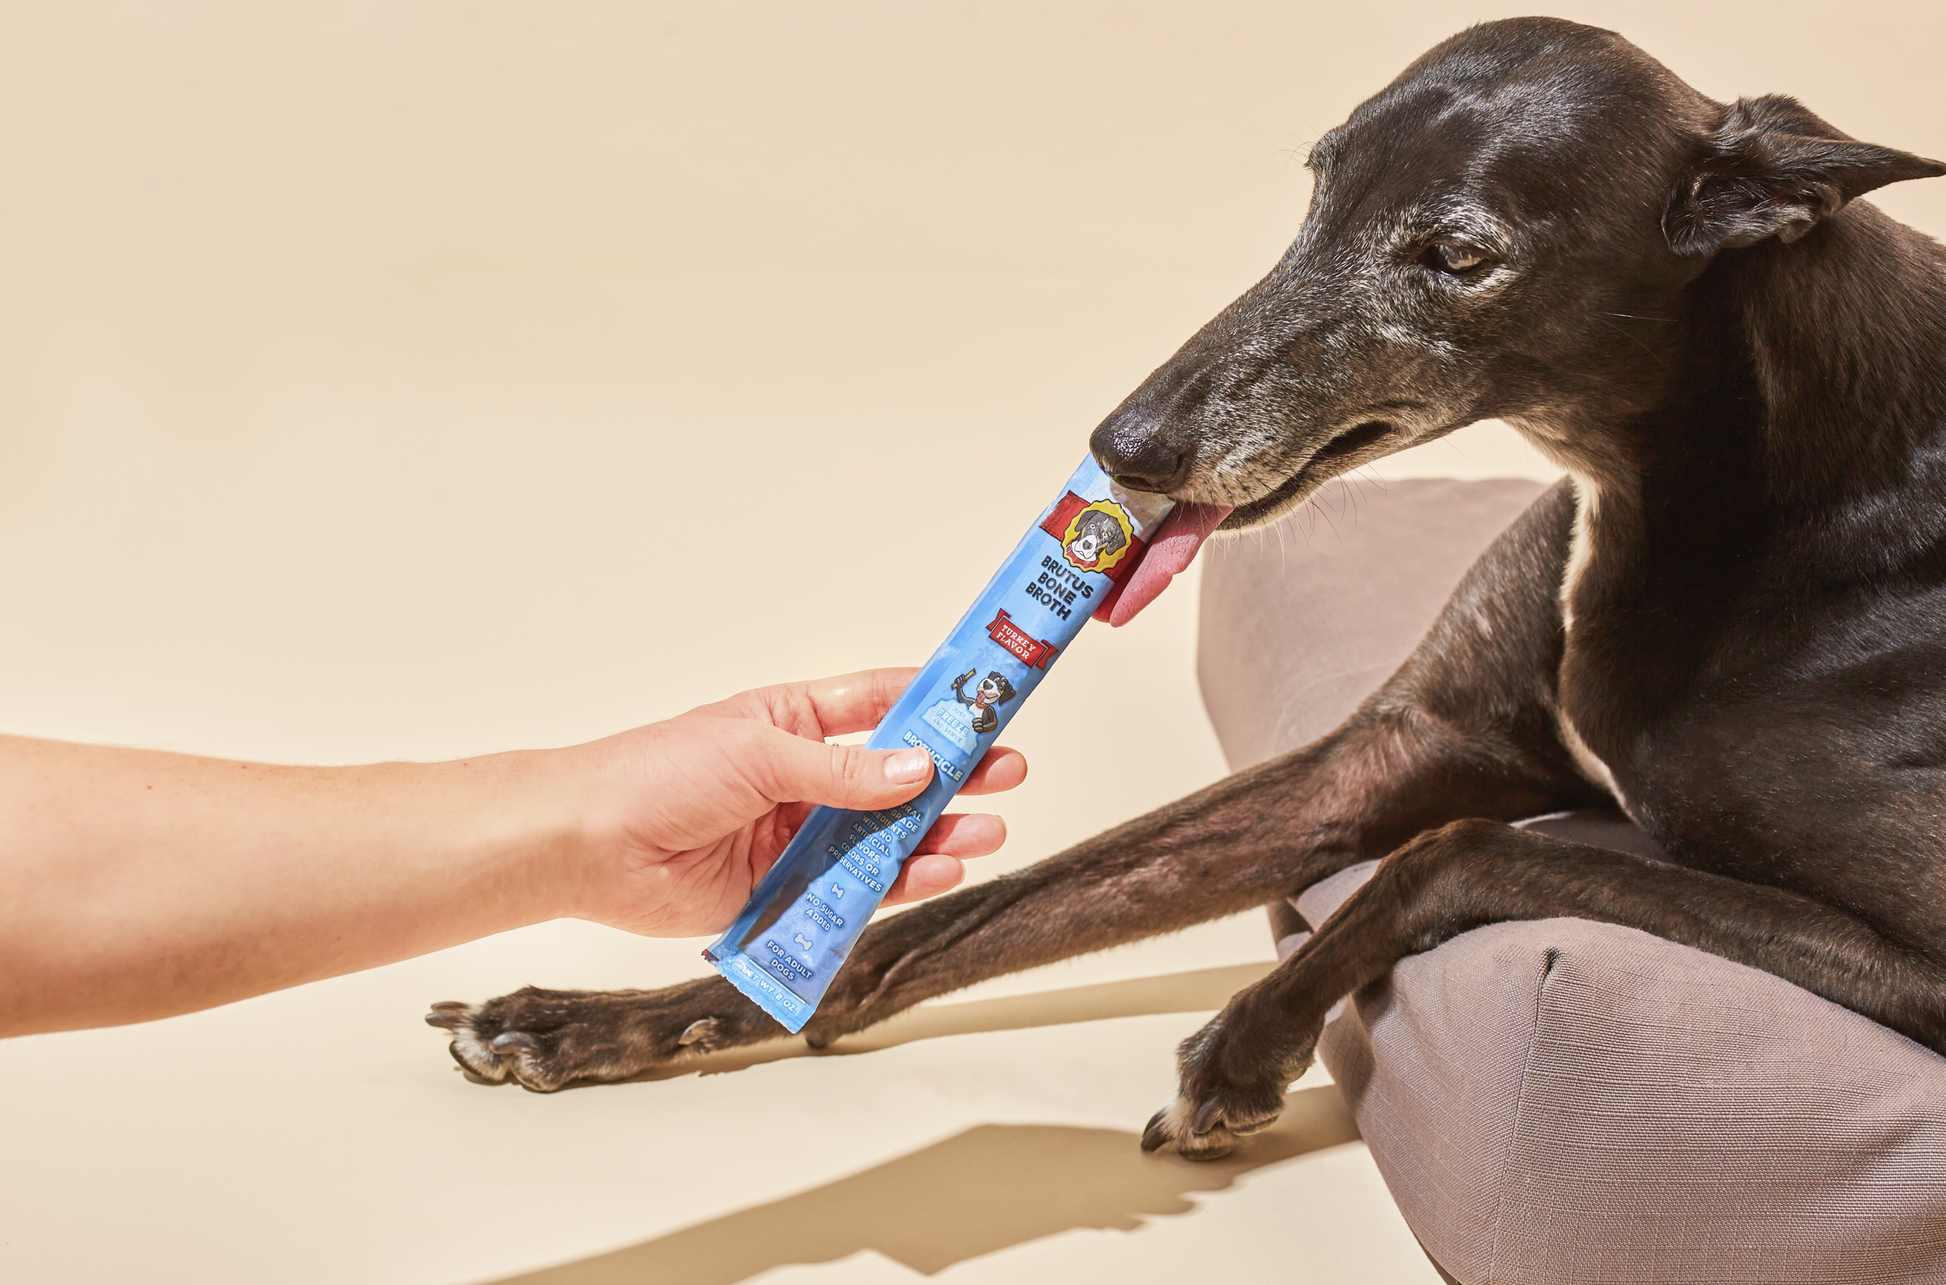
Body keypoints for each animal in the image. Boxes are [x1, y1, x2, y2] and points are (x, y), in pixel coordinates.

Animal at [433, 15, 1946, 1160]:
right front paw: (604, 1015)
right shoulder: (1380, 750)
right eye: (1317, 186)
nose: (1126, 448)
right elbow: (935, 923)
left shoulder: (1927, 957)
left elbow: (1470, 846)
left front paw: (1241, 1044)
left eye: (1458, 256)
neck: (1711, 468)